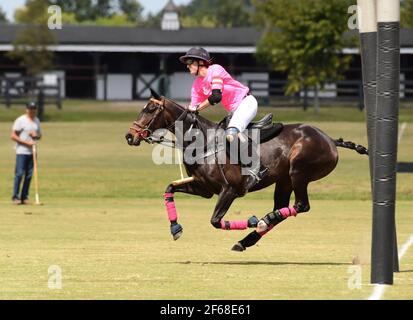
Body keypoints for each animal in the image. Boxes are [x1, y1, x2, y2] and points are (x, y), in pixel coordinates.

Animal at [125, 89, 366, 250]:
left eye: (151, 109)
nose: (130, 136)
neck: (202, 141)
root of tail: (331, 140)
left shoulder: (231, 190)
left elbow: (215, 221)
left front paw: (250, 220)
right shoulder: (204, 188)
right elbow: (170, 188)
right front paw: (175, 228)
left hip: (299, 172)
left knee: (301, 205)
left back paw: (261, 222)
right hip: (284, 180)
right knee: (283, 207)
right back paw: (250, 236)